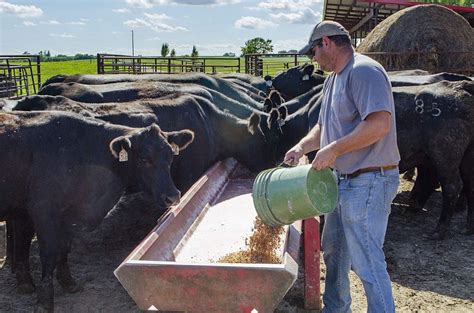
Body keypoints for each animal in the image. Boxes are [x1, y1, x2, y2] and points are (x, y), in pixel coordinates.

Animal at [0, 111, 193, 310]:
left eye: (171, 156)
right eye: (143, 159)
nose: (173, 196)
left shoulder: (69, 215)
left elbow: (64, 248)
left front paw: (68, 283)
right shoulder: (43, 210)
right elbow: (49, 253)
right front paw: (45, 302)